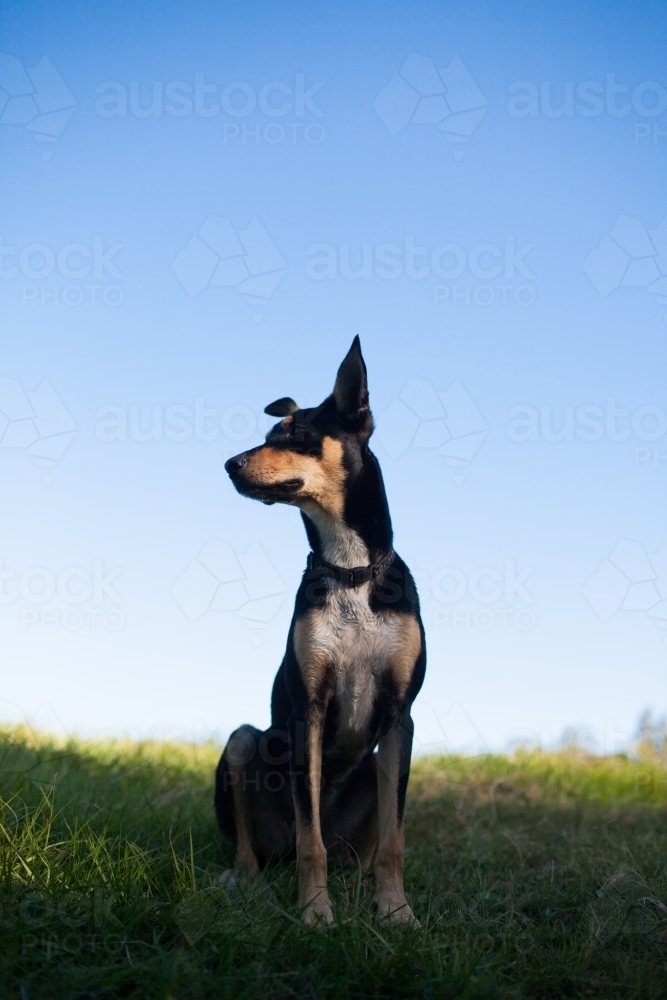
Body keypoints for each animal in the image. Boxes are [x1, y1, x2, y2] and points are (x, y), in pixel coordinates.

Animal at [217, 336, 430, 920]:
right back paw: (244, 879)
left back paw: (358, 882)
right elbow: (308, 833)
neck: (349, 568)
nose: (229, 465)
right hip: (243, 743)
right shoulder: (307, 711)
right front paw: (315, 912)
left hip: (375, 767)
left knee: (360, 849)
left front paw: (395, 911)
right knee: (261, 845)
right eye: (271, 434)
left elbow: (396, 841)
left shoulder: (400, 718)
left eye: (299, 436)